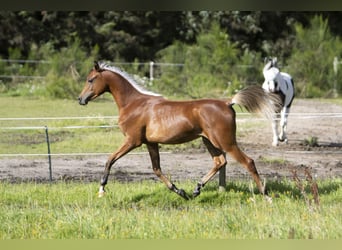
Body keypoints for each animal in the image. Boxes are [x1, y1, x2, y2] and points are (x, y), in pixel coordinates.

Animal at [78, 61, 280, 200]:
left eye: (90, 79)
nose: (81, 99)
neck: (133, 103)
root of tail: (227, 102)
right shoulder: (151, 143)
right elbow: (157, 169)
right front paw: (180, 191)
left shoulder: (132, 141)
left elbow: (110, 159)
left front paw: (101, 189)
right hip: (209, 140)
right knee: (220, 161)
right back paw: (196, 189)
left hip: (226, 142)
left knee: (248, 162)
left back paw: (266, 196)